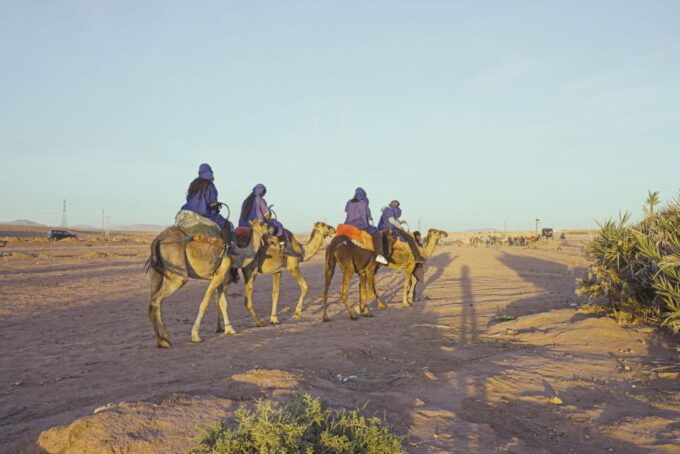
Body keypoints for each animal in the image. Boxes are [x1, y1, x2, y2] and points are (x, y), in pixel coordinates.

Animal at [147, 220, 268, 348]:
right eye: (262, 224)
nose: (269, 227)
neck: (239, 253)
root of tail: (159, 239)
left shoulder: (221, 278)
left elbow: (222, 303)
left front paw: (229, 329)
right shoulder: (220, 273)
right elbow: (205, 303)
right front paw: (195, 336)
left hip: (156, 273)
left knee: (151, 301)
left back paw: (161, 340)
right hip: (177, 273)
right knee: (156, 300)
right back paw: (165, 338)